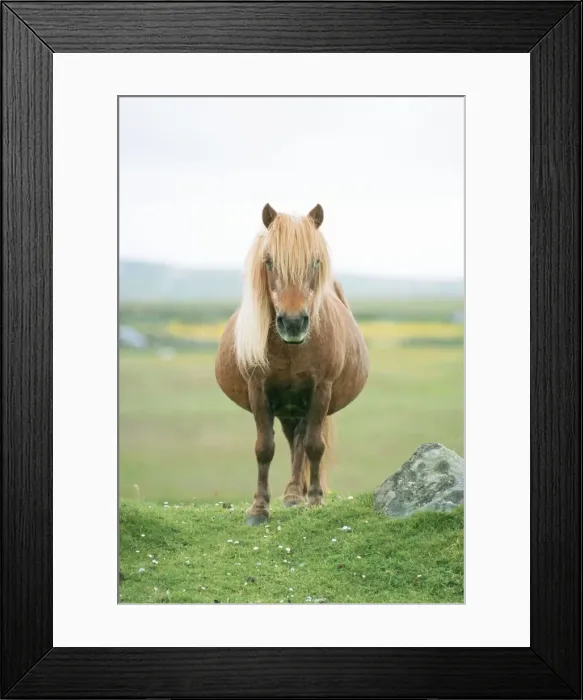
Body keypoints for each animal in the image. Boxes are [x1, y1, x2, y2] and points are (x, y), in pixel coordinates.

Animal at [215, 203, 369, 525]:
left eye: (315, 261)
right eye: (269, 262)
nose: (294, 323)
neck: (291, 349)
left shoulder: (321, 390)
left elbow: (314, 446)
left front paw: (315, 500)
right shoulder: (258, 391)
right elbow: (264, 448)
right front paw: (259, 508)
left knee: (302, 442)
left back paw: (298, 495)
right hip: (288, 409)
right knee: (291, 441)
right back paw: (292, 495)